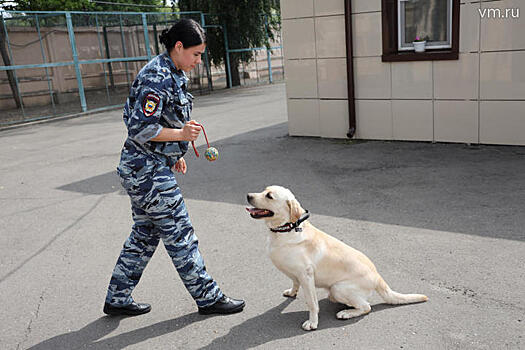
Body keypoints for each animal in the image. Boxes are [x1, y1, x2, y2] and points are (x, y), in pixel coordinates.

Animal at [246, 186, 426, 330]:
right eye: (264, 190)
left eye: (269, 196)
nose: (248, 195)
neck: (286, 229)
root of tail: (378, 276)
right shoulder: (296, 274)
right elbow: (294, 283)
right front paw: (292, 292)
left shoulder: (306, 275)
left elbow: (312, 303)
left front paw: (312, 323)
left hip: (338, 288)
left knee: (366, 307)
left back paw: (347, 313)